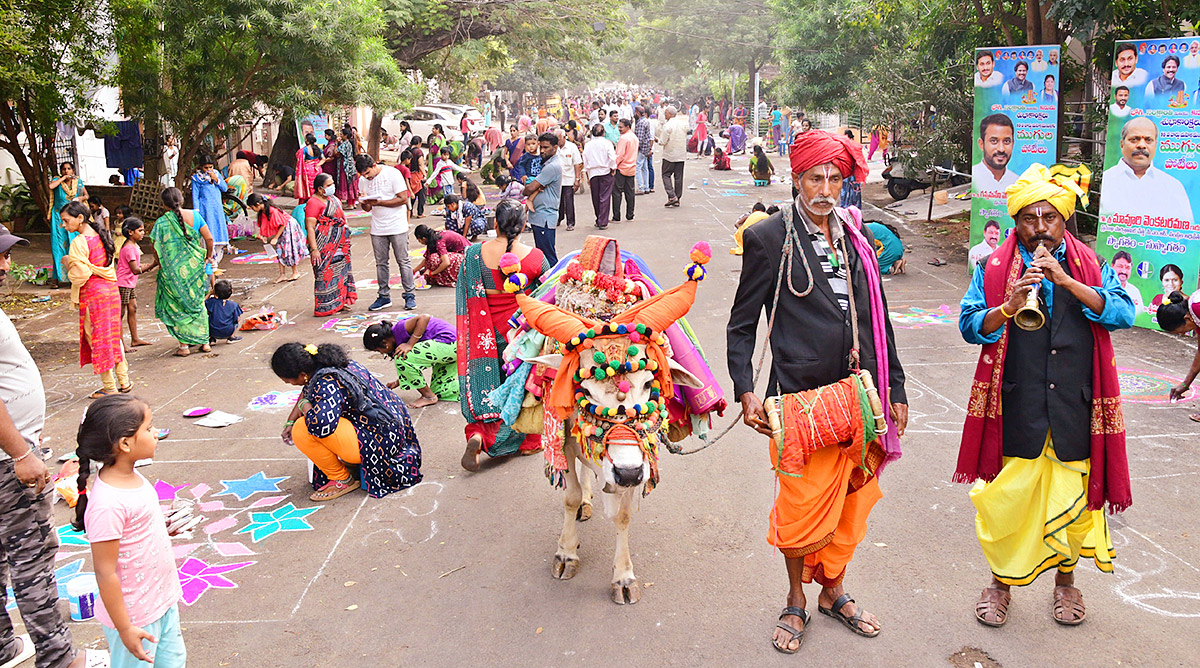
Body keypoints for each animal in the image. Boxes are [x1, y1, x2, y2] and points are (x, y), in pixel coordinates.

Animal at [494, 236, 724, 604]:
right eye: (585, 390)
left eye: (649, 384)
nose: (628, 473)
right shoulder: (566, 443)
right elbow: (570, 496)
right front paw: (566, 553)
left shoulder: (638, 457)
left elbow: (623, 515)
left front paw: (624, 577)